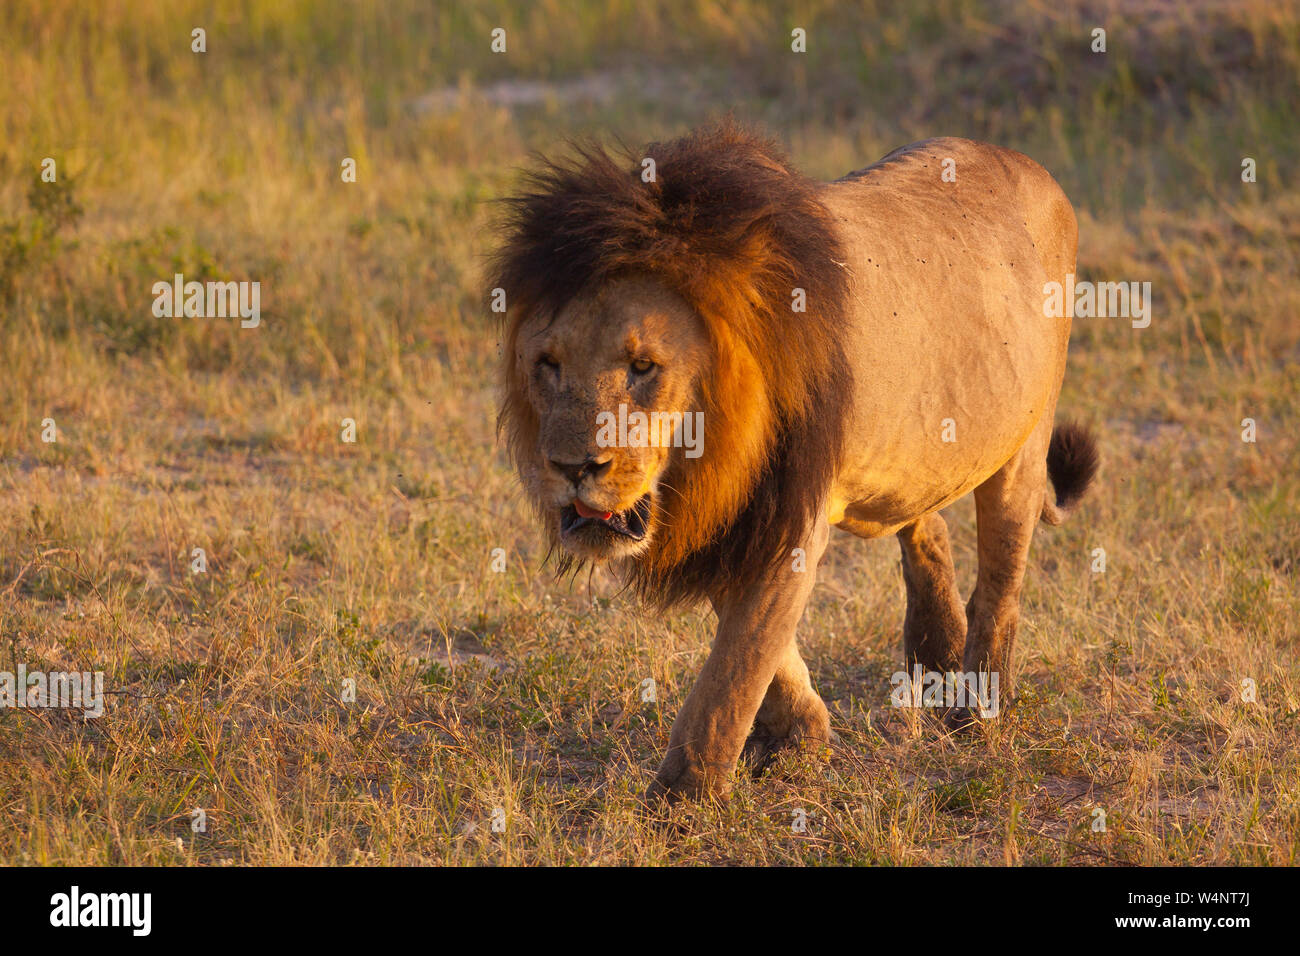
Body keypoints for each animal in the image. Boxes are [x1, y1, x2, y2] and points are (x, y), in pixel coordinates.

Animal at [492, 121, 1099, 802]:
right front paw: (798, 740)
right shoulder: (735, 515)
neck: (710, 455)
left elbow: (733, 671)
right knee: (925, 524)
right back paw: (937, 658)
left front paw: (680, 800)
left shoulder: (786, 512)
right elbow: (759, 649)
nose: (571, 468)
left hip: (1026, 443)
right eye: (548, 364)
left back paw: (977, 710)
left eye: (643, 366)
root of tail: (1029, 165)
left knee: (999, 583)